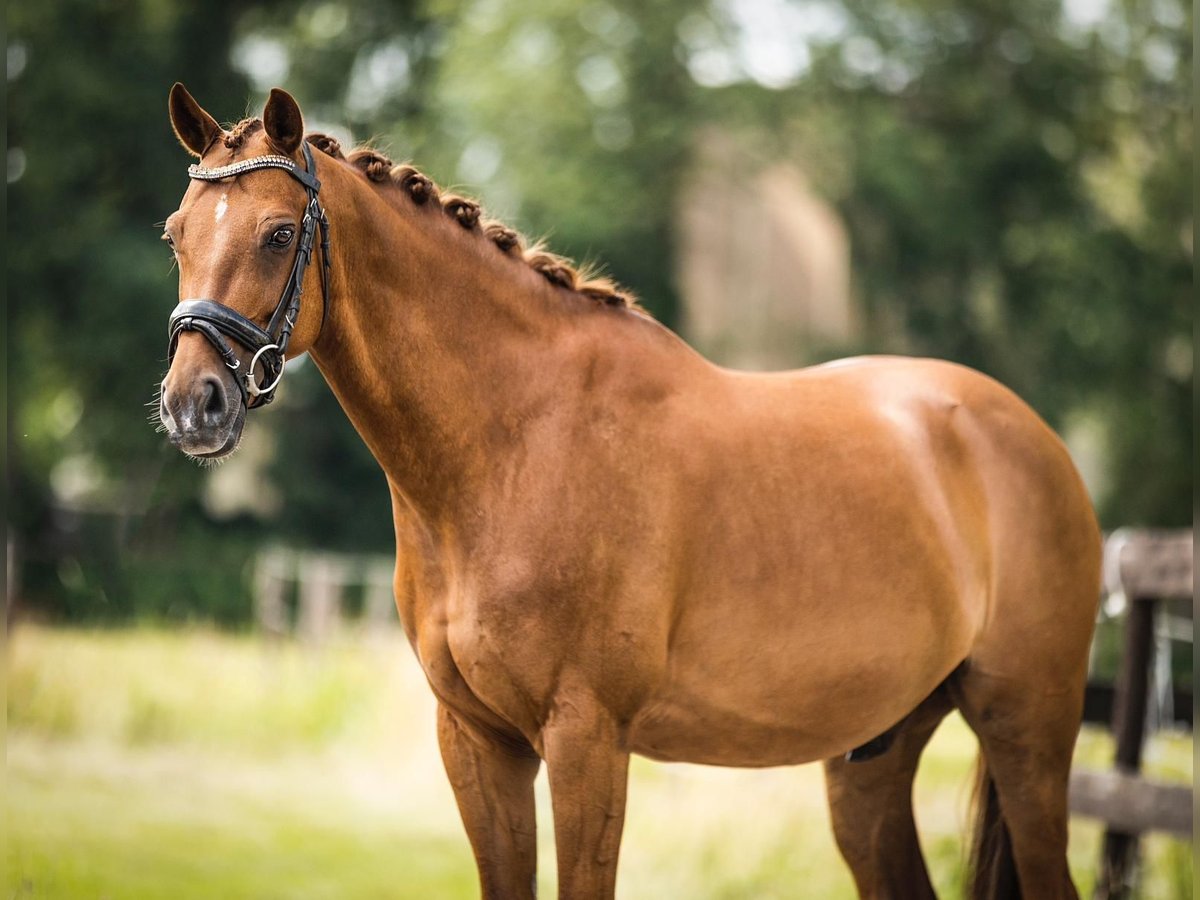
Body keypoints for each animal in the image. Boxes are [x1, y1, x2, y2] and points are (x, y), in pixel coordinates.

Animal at [162, 86, 1104, 900]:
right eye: (176, 234)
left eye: (279, 233)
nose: (191, 405)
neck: (517, 443)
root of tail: (1033, 438)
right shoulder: (477, 742)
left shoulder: (587, 739)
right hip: (873, 756)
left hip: (1028, 731)